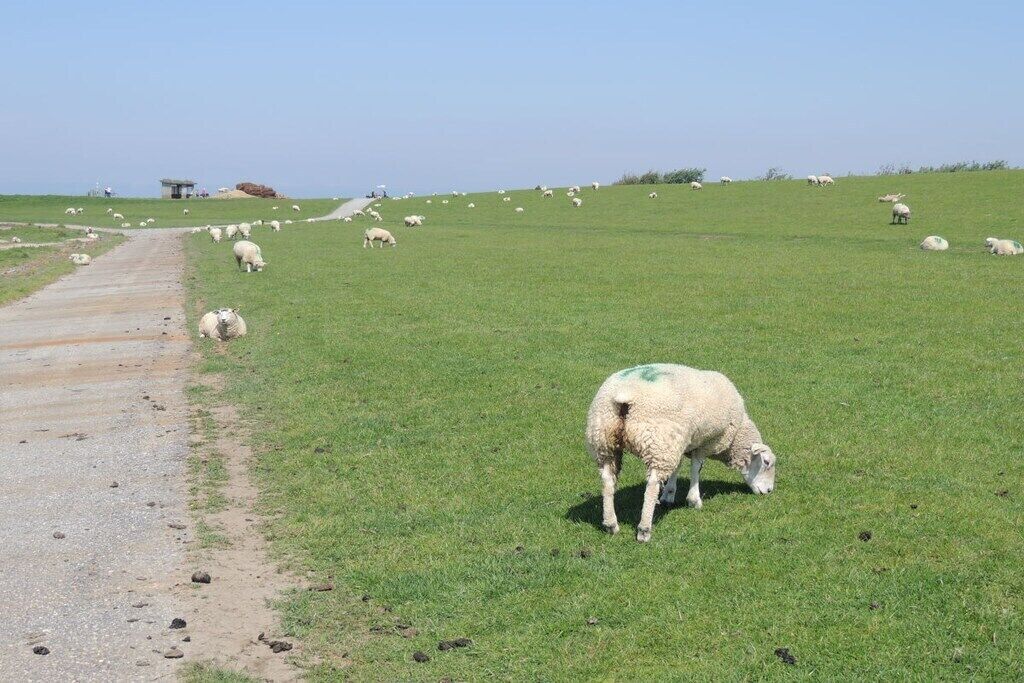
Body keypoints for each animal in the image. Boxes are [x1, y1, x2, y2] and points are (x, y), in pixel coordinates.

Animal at [585, 363, 777, 542]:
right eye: (767, 462)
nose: (769, 491)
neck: (736, 436)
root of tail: (623, 396)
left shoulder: (682, 441)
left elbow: (677, 467)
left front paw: (668, 495)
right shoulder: (706, 442)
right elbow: (696, 468)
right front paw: (694, 500)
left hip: (605, 440)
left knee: (607, 481)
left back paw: (611, 524)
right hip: (659, 440)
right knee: (652, 485)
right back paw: (644, 530)